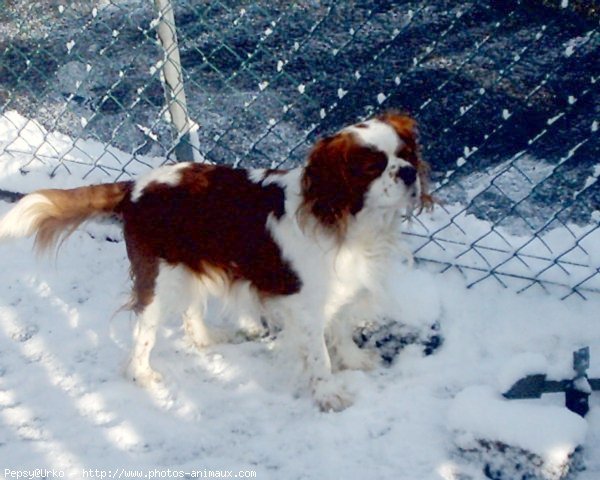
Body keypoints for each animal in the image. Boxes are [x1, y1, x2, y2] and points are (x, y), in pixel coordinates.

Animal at [0, 111, 432, 408]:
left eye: (406, 154)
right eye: (373, 167)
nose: (409, 173)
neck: (350, 220)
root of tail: (135, 186)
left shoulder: (340, 289)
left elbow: (340, 332)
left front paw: (354, 360)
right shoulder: (306, 303)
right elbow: (319, 355)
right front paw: (328, 396)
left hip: (190, 266)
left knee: (192, 312)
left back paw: (209, 339)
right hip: (158, 281)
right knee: (143, 334)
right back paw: (144, 376)